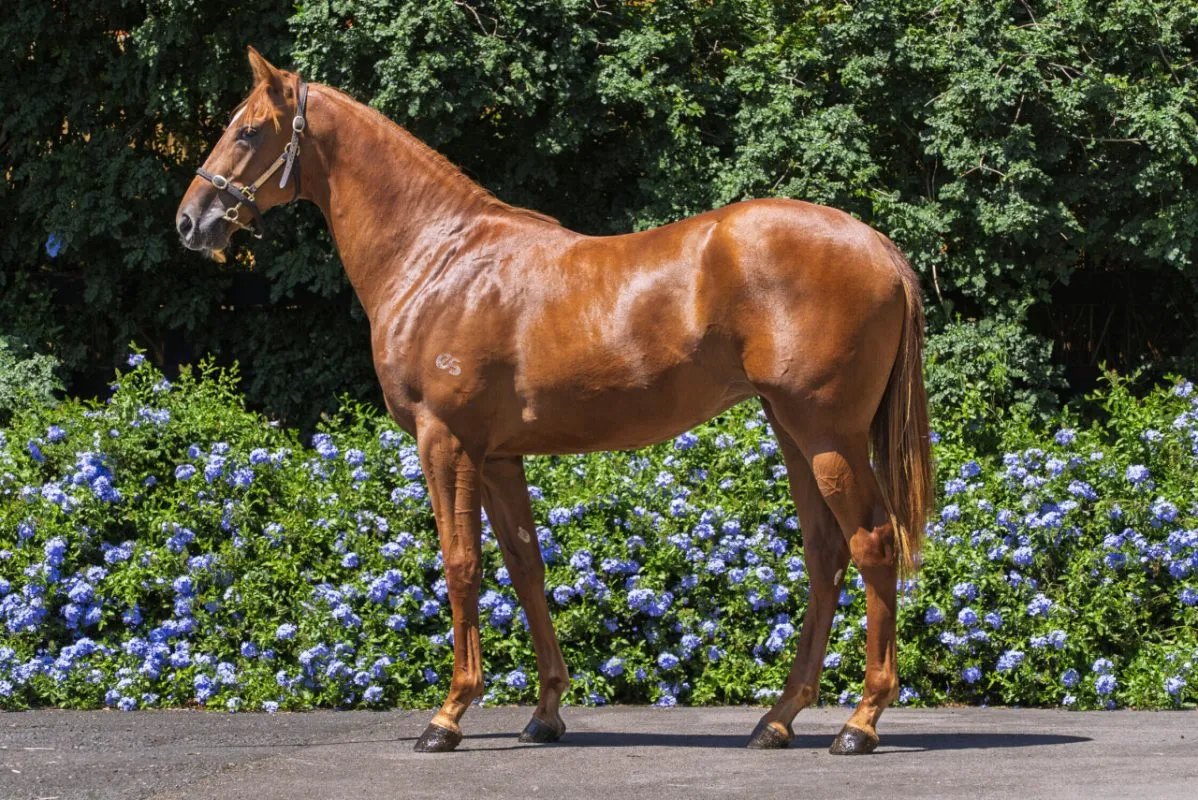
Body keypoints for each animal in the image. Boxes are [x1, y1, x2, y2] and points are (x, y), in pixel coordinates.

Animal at [176, 47, 933, 755]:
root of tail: (878, 247)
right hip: (793, 432)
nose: (190, 221)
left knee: (871, 544)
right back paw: (777, 720)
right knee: (824, 555)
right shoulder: (498, 457)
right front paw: (545, 712)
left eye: (247, 132)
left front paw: (447, 716)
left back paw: (860, 722)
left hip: (826, 434)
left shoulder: (445, 441)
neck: (437, 260)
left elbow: (462, 566)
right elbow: (525, 568)